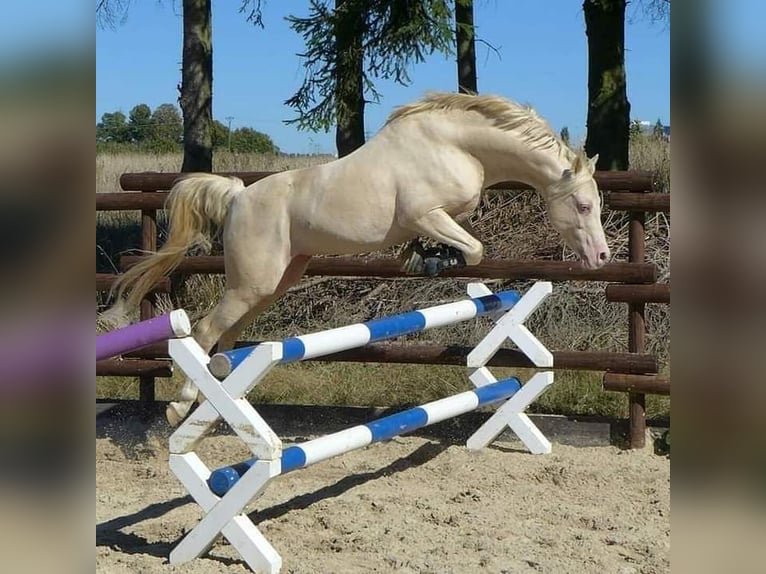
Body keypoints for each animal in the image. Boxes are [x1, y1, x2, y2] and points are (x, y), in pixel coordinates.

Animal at [107, 92, 610, 426]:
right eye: (584, 206)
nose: (602, 257)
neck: (459, 145)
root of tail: (236, 196)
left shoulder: (443, 217)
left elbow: (465, 244)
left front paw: (424, 257)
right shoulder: (424, 213)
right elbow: (473, 248)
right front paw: (432, 261)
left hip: (274, 283)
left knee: (226, 342)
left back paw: (217, 410)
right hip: (252, 283)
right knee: (207, 332)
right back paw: (179, 408)